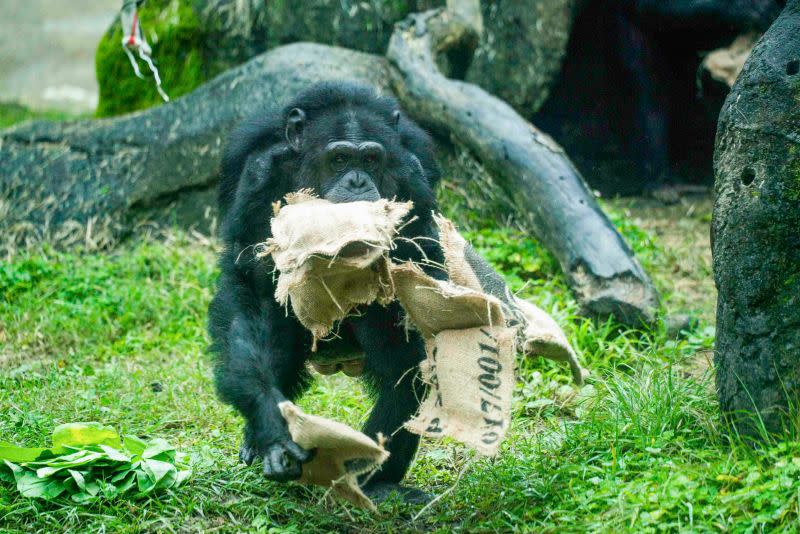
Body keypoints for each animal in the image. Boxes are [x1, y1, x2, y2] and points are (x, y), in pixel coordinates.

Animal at [209, 81, 446, 504]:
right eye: (339, 159)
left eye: (370, 159)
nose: (357, 182)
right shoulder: (259, 180)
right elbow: (254, 286)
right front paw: (275, 429)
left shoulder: (412, 181)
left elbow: (420, 272)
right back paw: (263, 444)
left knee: (404, 369)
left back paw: (370, 478)